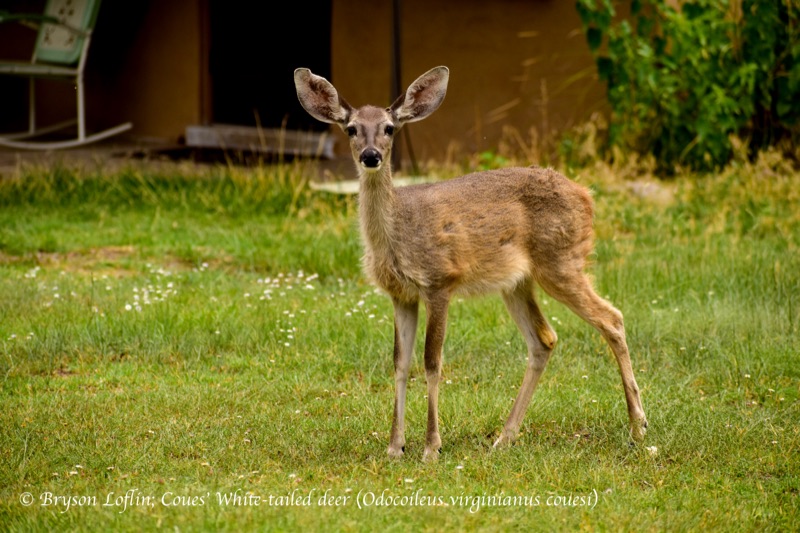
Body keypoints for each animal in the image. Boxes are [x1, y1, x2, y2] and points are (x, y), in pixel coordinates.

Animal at [294, 66, 648, 461]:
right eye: (352, 128)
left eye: (389, 128)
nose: (371, 156)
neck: (398, 233)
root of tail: (587, 196)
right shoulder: (401, 294)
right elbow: (400, 363)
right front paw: (395, 446)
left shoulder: (439, 280)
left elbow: (432, 362)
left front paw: (431, 447)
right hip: (517, 283)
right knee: (544, 339)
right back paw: (505, 437)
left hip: (562, 261)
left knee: (611, 318)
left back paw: (638, 427)